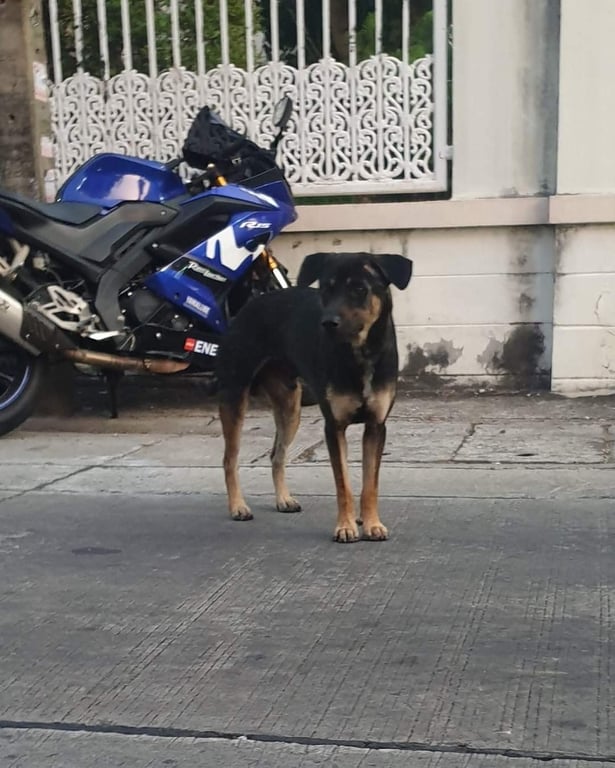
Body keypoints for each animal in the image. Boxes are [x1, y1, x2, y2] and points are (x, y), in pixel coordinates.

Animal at [216, 251, 412, 542]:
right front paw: (346, 526)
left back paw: (283, 499)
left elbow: (370, 484)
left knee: (277, 455)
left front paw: (372, 523)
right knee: (230, 458)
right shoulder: (334, 427)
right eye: (326, 289)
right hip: (234, 394)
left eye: (359, 289)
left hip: (290, 407)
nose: (328, 322)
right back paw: (238, 506)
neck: (360, 354)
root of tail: (248, 306)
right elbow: (343, 484)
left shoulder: (376, 426)